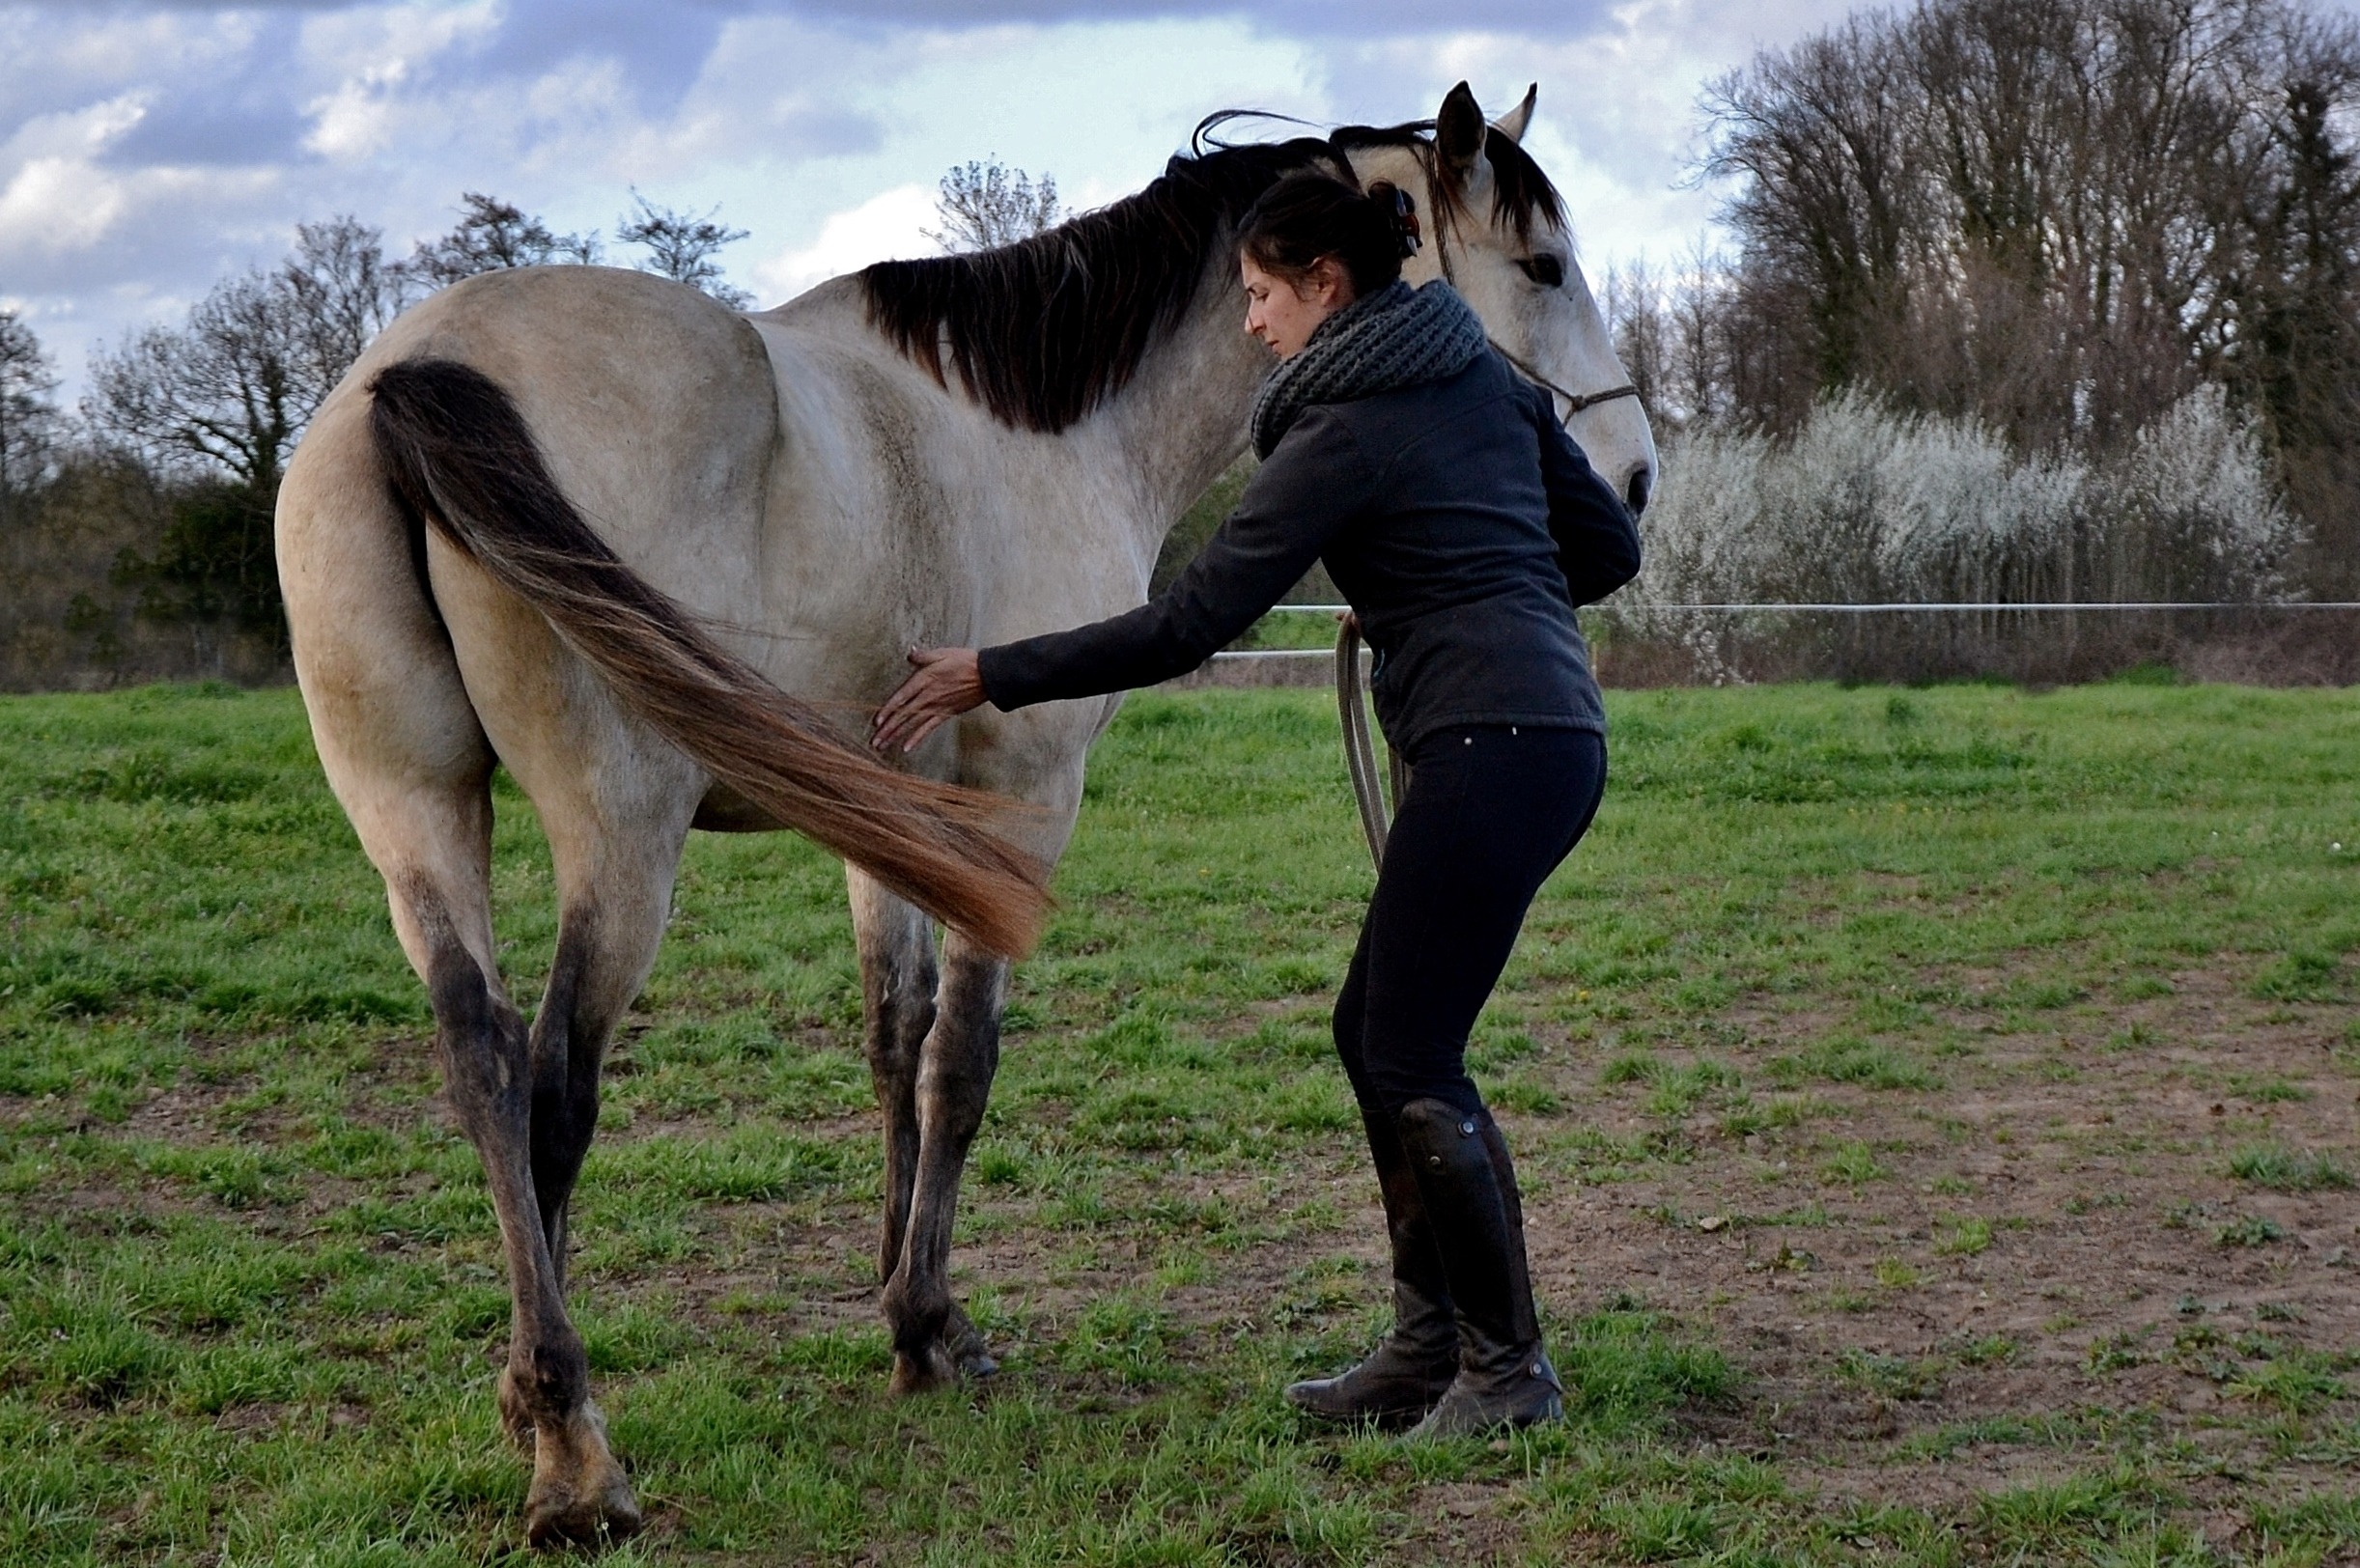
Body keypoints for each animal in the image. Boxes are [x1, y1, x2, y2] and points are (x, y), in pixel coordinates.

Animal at [275, 79, 1651, 1539]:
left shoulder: (889, 812)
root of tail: (420, 371)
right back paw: (574, 1451)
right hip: (619, 837)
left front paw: (895, 1299)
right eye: (1542, 267)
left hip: (416, 814)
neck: (1040, 432)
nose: (1629, 480)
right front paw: (934, 1323)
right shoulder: (1021, 802)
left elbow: (895, 1040)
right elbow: (963, 1060)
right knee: (552, 1091)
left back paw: (529, 1399)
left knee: (479, 1060)